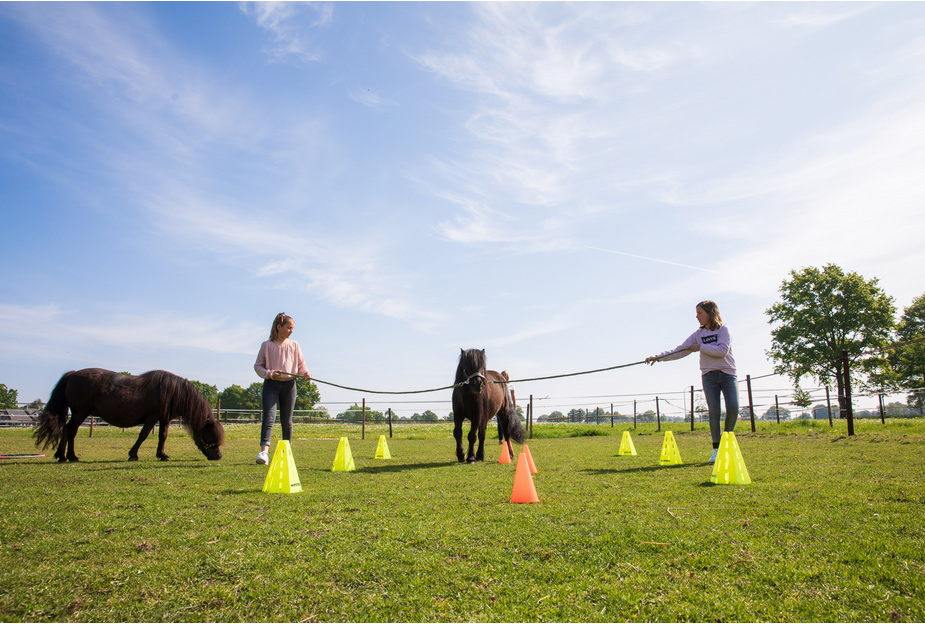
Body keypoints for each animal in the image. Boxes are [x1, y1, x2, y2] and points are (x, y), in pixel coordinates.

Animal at [35, 368, 226, 460]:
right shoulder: (152, 417)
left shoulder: (164, 419)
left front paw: (162, 455)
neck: (172, 392)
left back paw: (64, 456)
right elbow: (143, 435)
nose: (218, 456)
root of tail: (72, 374)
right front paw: (133, 454)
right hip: (79, 413)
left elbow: (162, 436)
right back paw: (68, 456)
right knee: (70, 431)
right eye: (209, 436)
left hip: (78, 414)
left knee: (68, 430)